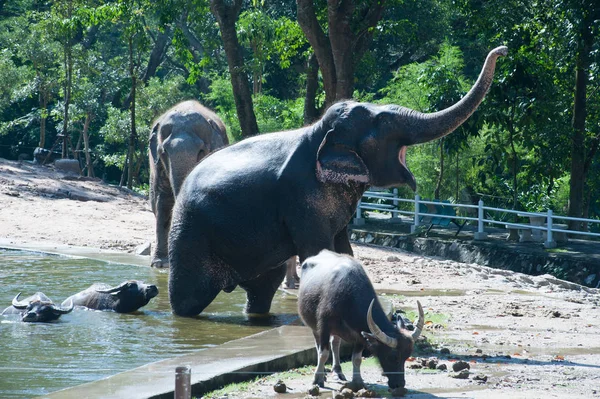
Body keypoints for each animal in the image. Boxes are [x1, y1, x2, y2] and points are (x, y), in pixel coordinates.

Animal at [168, 45, 506, 318]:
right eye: (384, 121)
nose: (502, 50)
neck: (317, 131)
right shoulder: (301, 195)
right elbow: (318, 249)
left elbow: (344, 248)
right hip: (190, 231)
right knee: (188, 297)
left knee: (263, 287)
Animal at [298, 252, 424, 392]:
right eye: (393, 357)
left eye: (407, 356)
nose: (399, 384)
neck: (347, 297)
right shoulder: (324, 327)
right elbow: (323, 354)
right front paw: (318, 380)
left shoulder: (360, 335)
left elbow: (357, 359)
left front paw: (358, 381)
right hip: (313, 325)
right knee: (318, 345)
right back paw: (323, 372)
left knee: (335, 343)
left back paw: (337, 371)